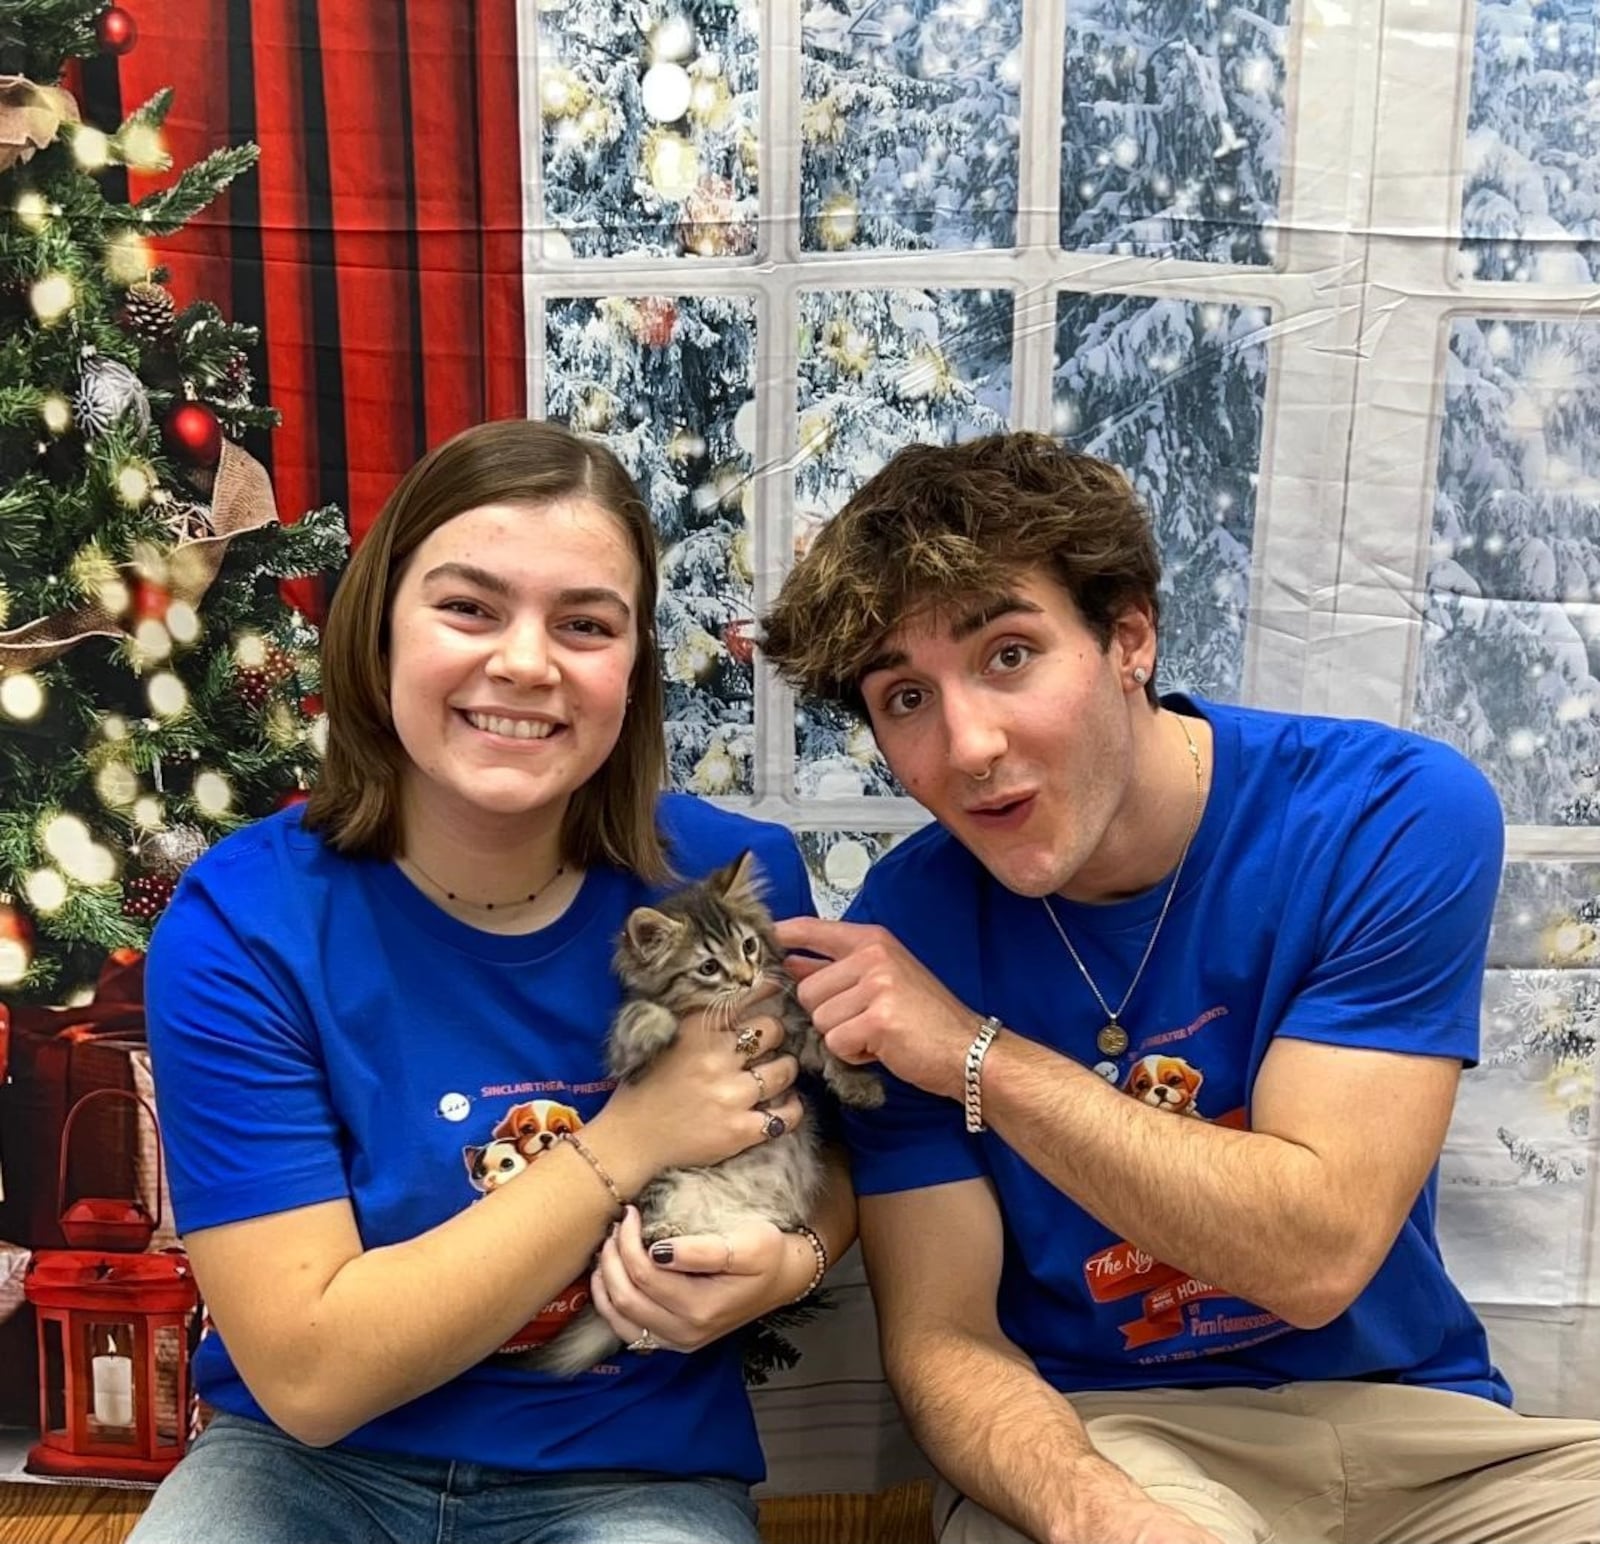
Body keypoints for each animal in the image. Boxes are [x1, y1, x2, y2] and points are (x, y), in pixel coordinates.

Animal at [521, 851, 883, 1382]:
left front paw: (861, 1084)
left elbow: (828, 1045)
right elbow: (638, 1015)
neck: (736, 1015)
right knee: (648, 1230)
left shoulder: (793, 1034)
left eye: (749, 946)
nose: (747, 978)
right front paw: (655, 1024)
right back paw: (661, 1233)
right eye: (709, 967)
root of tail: (735, 1215)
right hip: (669, 1184)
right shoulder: (626, 1063)